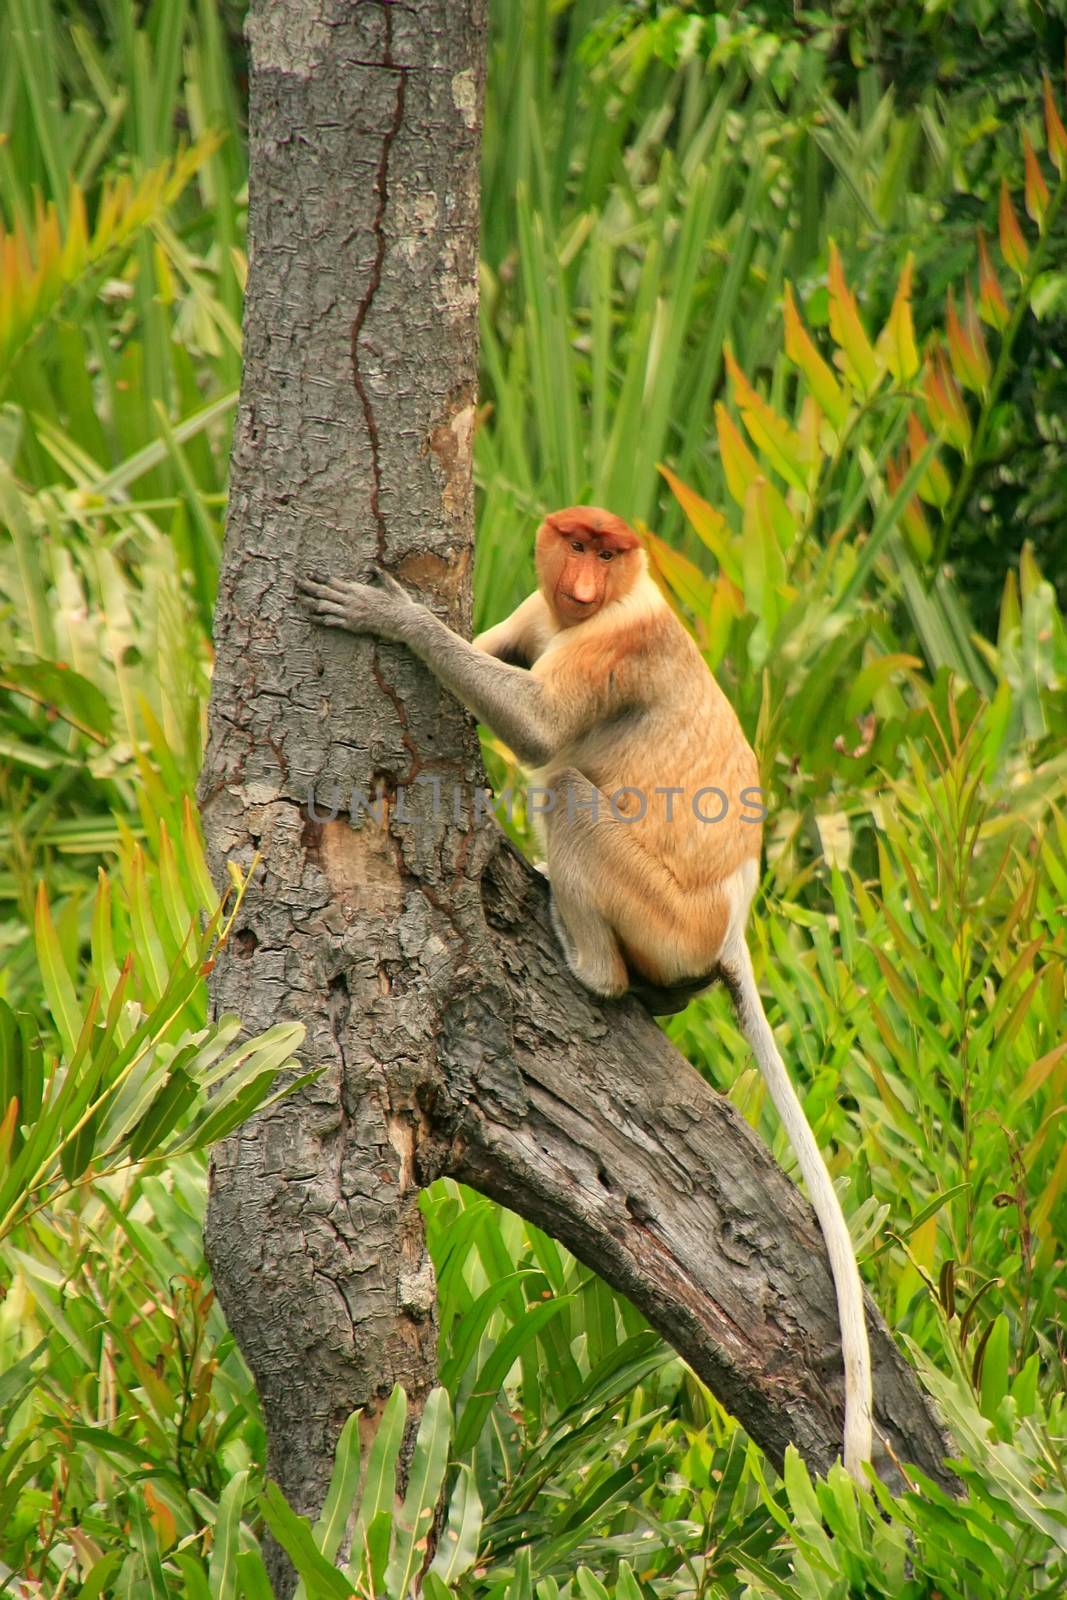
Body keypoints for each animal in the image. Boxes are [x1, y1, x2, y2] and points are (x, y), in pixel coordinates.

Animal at [300, 499, 876, 1472]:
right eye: (573, 543)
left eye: (609, 554)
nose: (579, 581)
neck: (611, 603)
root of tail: (730, 922)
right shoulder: (545, 615)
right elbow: (500, 651)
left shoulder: (613, 647)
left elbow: (539, 730)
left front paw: (391, 615)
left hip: (659, 911)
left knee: (566, 785)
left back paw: (588, 964)